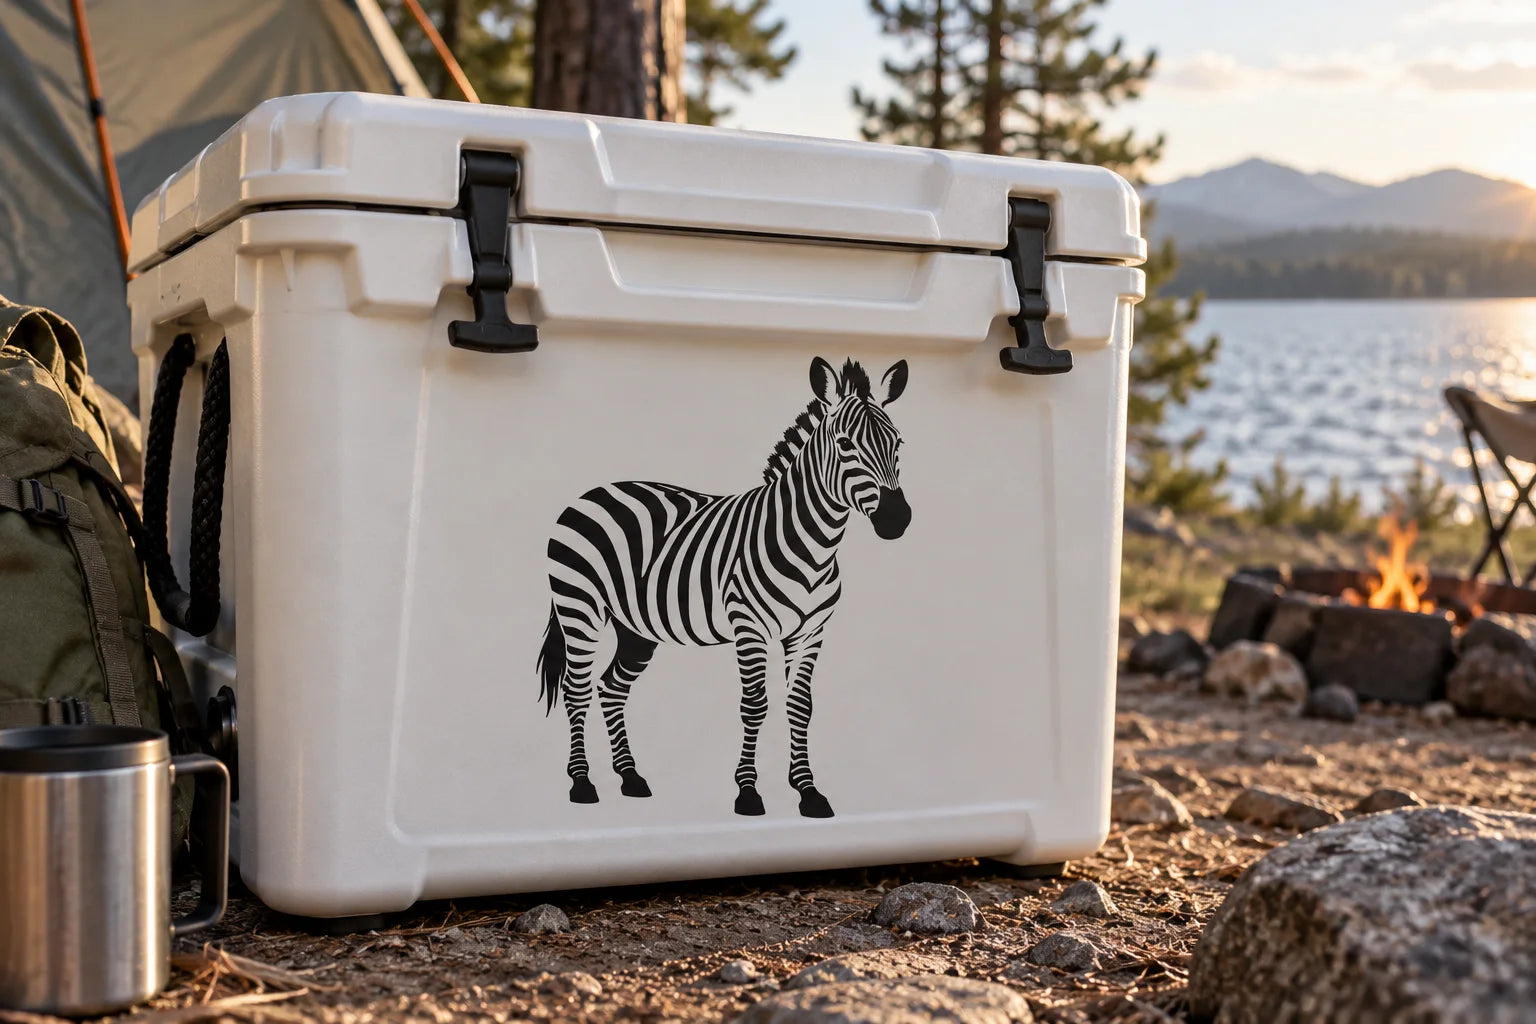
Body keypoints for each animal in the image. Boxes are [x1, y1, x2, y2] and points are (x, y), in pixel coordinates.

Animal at [536, 356, 911, 819]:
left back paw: (630, 776)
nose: (897, 519)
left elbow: (800, 706)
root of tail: (589, 494)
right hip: (580, 608)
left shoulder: (810, 632)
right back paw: (583, 782)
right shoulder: (749, 627)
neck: (812, 544)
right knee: (578, 690)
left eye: (899, 444)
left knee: (612, 687)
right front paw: (748, 792)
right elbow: (755, 705)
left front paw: (808, 791)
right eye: (844, 444)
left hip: (635, 628)